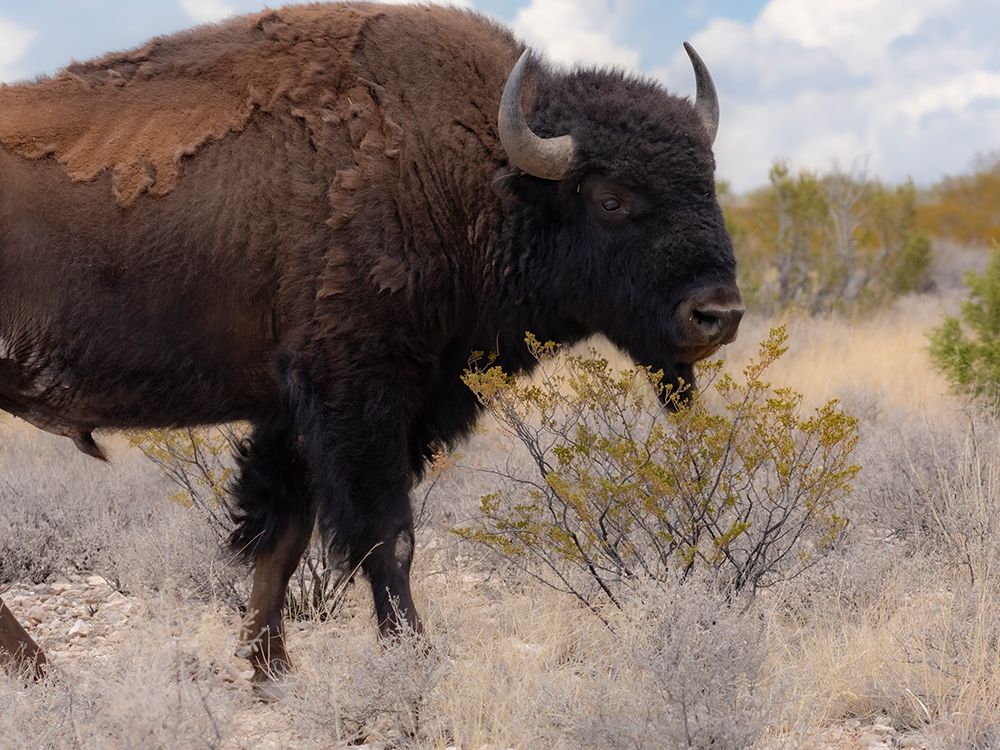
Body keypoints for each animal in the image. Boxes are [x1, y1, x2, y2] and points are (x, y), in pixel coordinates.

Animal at [0, 3, 743, 688]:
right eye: (611, 199)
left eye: (706, 182)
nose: (719, 313)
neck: (470, 173)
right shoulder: (359, 400)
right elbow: (390, 537)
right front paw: (412, 658)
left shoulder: (298, 415)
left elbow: (284, 538)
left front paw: (270, 669)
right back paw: (40, 670)